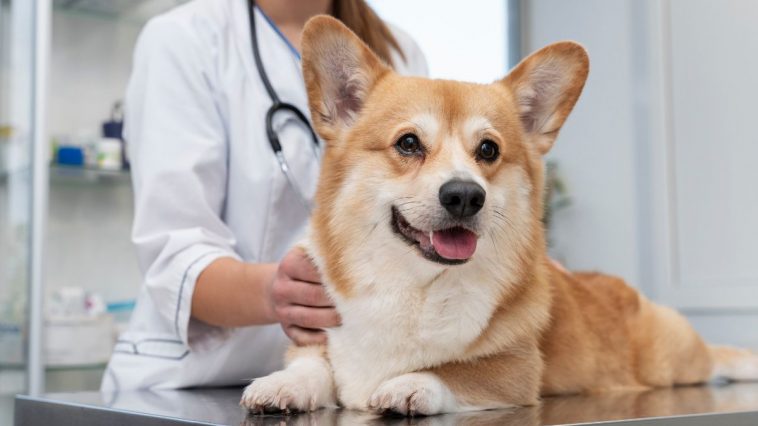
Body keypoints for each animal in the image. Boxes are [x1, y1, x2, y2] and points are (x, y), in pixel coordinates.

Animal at [240, 16, 756, 416]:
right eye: (408, 143)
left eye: (488, 150)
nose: (465, 195)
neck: (415, 285)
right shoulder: (318, 334)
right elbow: (312, 362)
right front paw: (283, 384)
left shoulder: (517, 369)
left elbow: (457, 370)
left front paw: (410, 383)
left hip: (672, 360)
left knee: (714, 357)